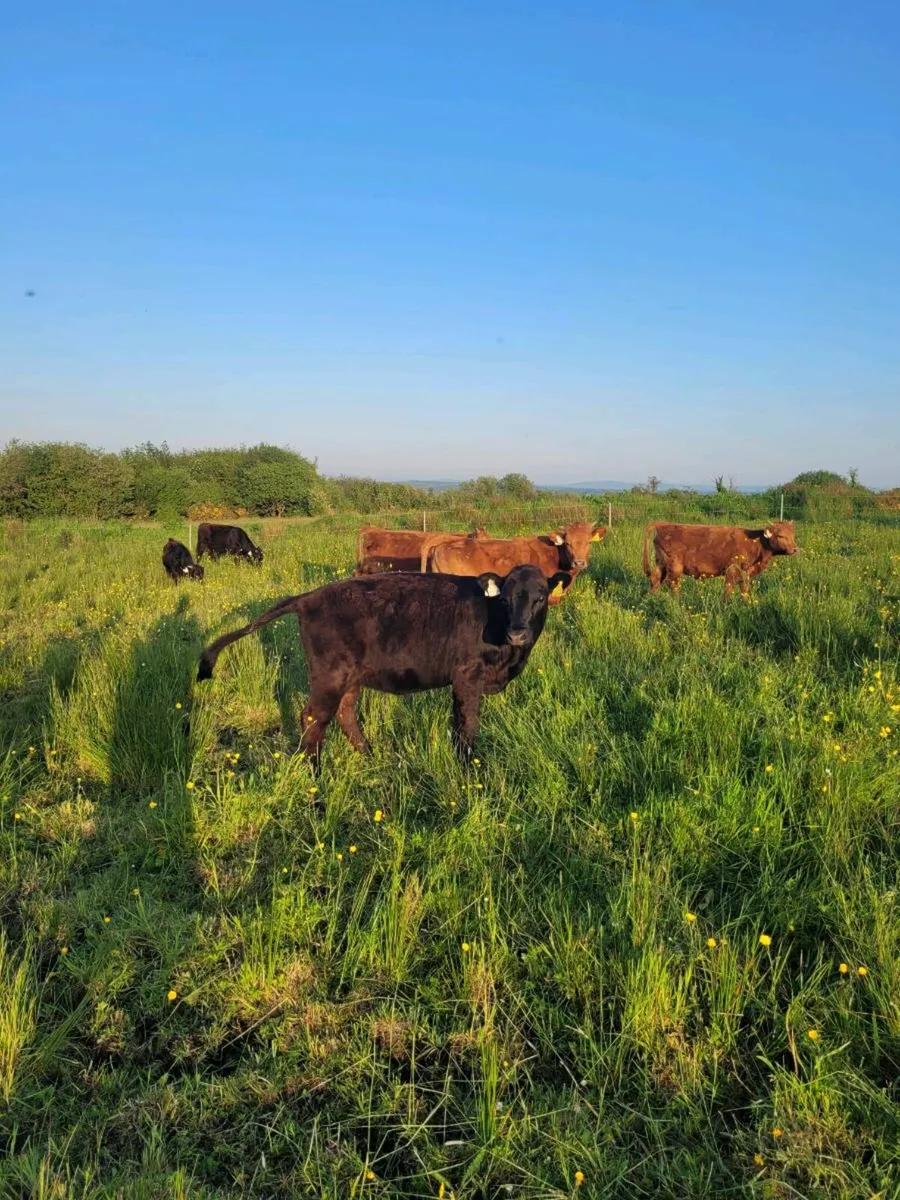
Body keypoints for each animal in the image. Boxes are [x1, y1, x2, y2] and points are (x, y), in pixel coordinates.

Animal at [197, 565, 549, 763]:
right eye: (505, 598)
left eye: (541, 597)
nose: (518, 633)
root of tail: (309, 597)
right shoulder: (466, 677)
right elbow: (468, 725)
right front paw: (469, 769)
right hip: (330, 674)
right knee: (313, 717)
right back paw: (314, 776)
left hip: (350, 677)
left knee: (344, 714)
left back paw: (368, 755)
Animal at [642, 521, 799, 596]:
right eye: (780, 536)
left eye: (793, 535)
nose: (795, 549)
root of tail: (663, 525)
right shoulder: (732, 570)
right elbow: (729, 589)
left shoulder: (745, 573)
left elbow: (744, 590)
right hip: (675, 567)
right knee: (672, 584)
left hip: (661, 563)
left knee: (656, 579)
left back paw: (652, 598)